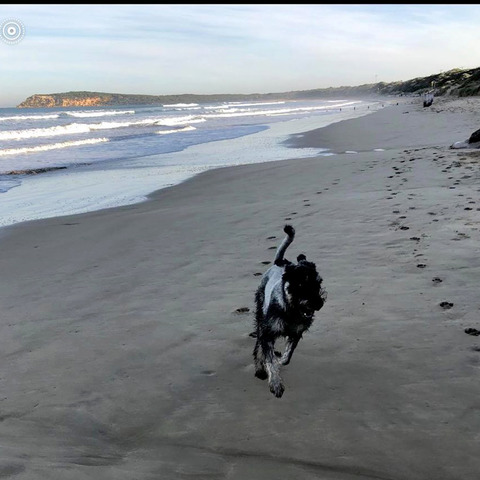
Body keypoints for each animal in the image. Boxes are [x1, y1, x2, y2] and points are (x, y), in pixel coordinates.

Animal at [251, 225, 326, 398]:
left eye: (318, 283)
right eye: (301, 285)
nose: (318, 304)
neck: (291, 310)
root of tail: (280, 262)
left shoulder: (296, 333)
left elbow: (287, 356)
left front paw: (280, 361)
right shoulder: (268, 333)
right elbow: (269, 359)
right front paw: (275, 384)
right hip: (260, 316)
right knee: (257, 346)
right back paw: (259, 369)